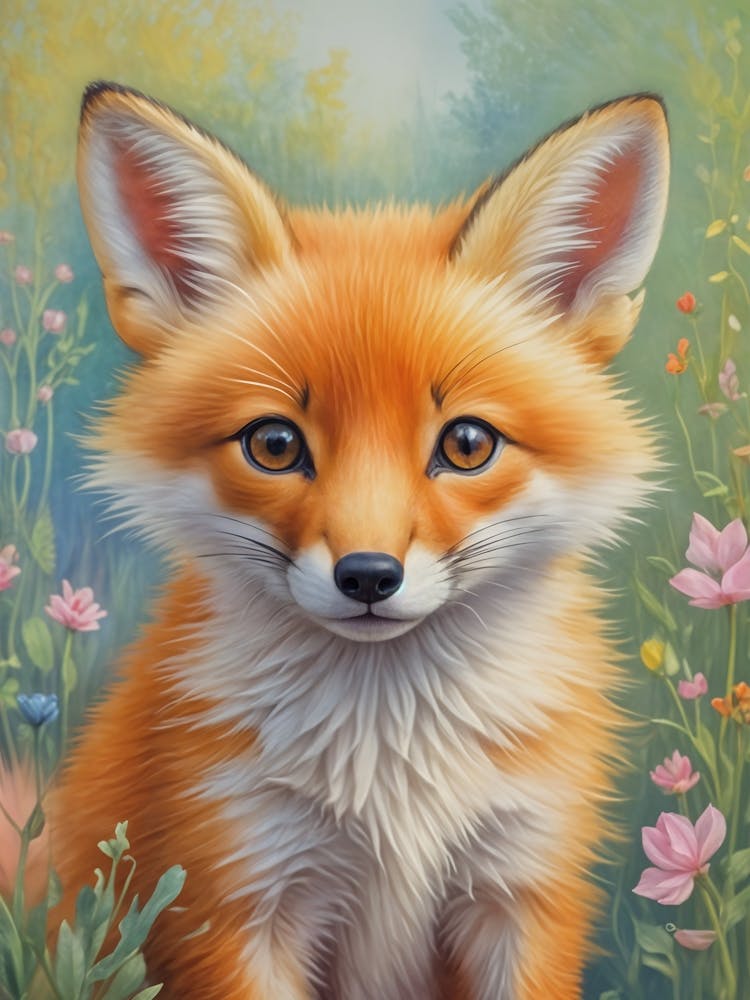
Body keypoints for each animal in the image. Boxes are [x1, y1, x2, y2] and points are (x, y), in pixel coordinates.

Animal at [45, 82, 669, 999]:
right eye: (274, 445)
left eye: (468, 444)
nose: (368, 576)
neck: (391, 766)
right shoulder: (235, 895)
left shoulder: (522, 888)